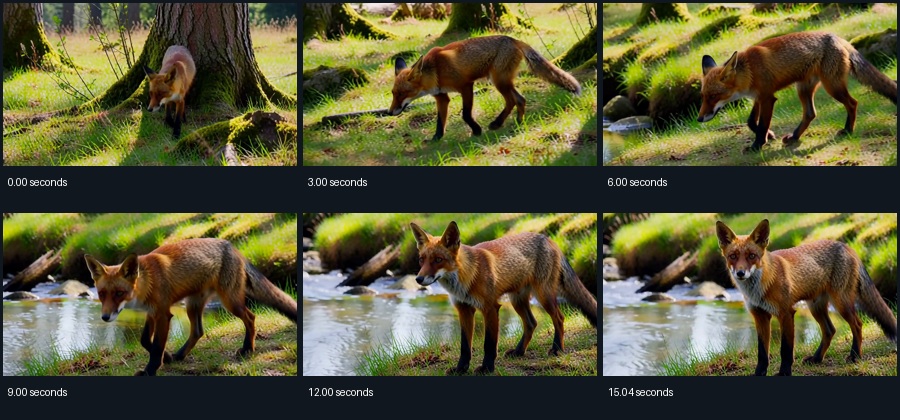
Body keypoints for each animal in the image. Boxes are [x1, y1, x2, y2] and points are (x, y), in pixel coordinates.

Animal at [84, 238, 298, 376]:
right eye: (102, 294)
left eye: (119, 293)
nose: (105, 317)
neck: (147, 282)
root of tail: (233, 247)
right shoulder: (152, 313)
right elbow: (145, 340)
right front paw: (167, 357)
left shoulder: (163, 314)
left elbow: (156, 346)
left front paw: (150, 370)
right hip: (192, 305)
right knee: (198, 331)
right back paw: (179, 355)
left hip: (230, 302)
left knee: (251, 317)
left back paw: (247, 349)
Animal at [390, 35, 582, 142]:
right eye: (393, 93)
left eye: (402, 93)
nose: (390, 112)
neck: (436, 69)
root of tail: (513, 39)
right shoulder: (441, 96)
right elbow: (440, 121)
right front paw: (436, 139)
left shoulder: (466, 86)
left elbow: (466, 115)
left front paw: (476, 130)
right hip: (501, 81)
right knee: (519, 100)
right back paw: (513, 122)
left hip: (499, 82)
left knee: (515, 100)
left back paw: (506, 123)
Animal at [410, 221, 597, 374]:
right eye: (421, 260)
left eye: (438, 260)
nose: (418, 279)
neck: (468, 276)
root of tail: (547, 238)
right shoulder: (464, 310)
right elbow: (465, 346)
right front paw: (460, 369)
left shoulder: (490, 308)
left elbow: (489, 344)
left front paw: (486, 368)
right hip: (517, 301)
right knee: (532, 323)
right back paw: (519, 351)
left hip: (543, 295)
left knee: (559, 318)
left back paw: (557, 349)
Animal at [698, 32, 897, 151]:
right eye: (703, 97)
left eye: (714, 96)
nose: (699, 119)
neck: (750, 70)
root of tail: (837, 37)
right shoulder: (758, 97)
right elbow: (751, 121)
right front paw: (769, 136)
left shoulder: (767, 98)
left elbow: (761, 124)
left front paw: (757, 145)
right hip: (803, 89)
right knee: (810, 113)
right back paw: (794, 137)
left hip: (832, 87)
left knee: (852, 103)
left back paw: (848, 130)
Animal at [716, 219, 897, 376]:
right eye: (733, 256)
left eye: (752, 255)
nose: (740, 273)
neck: (761, 288)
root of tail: (846, 246)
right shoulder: (760, 316)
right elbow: (762, 352)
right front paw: (759, 373)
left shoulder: (786, 314)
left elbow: (786, 349)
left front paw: (784, 372)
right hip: (815, 307)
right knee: (830, 330)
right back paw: (817, 358)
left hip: (841, 303)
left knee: (857, 325)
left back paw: (855, 356)